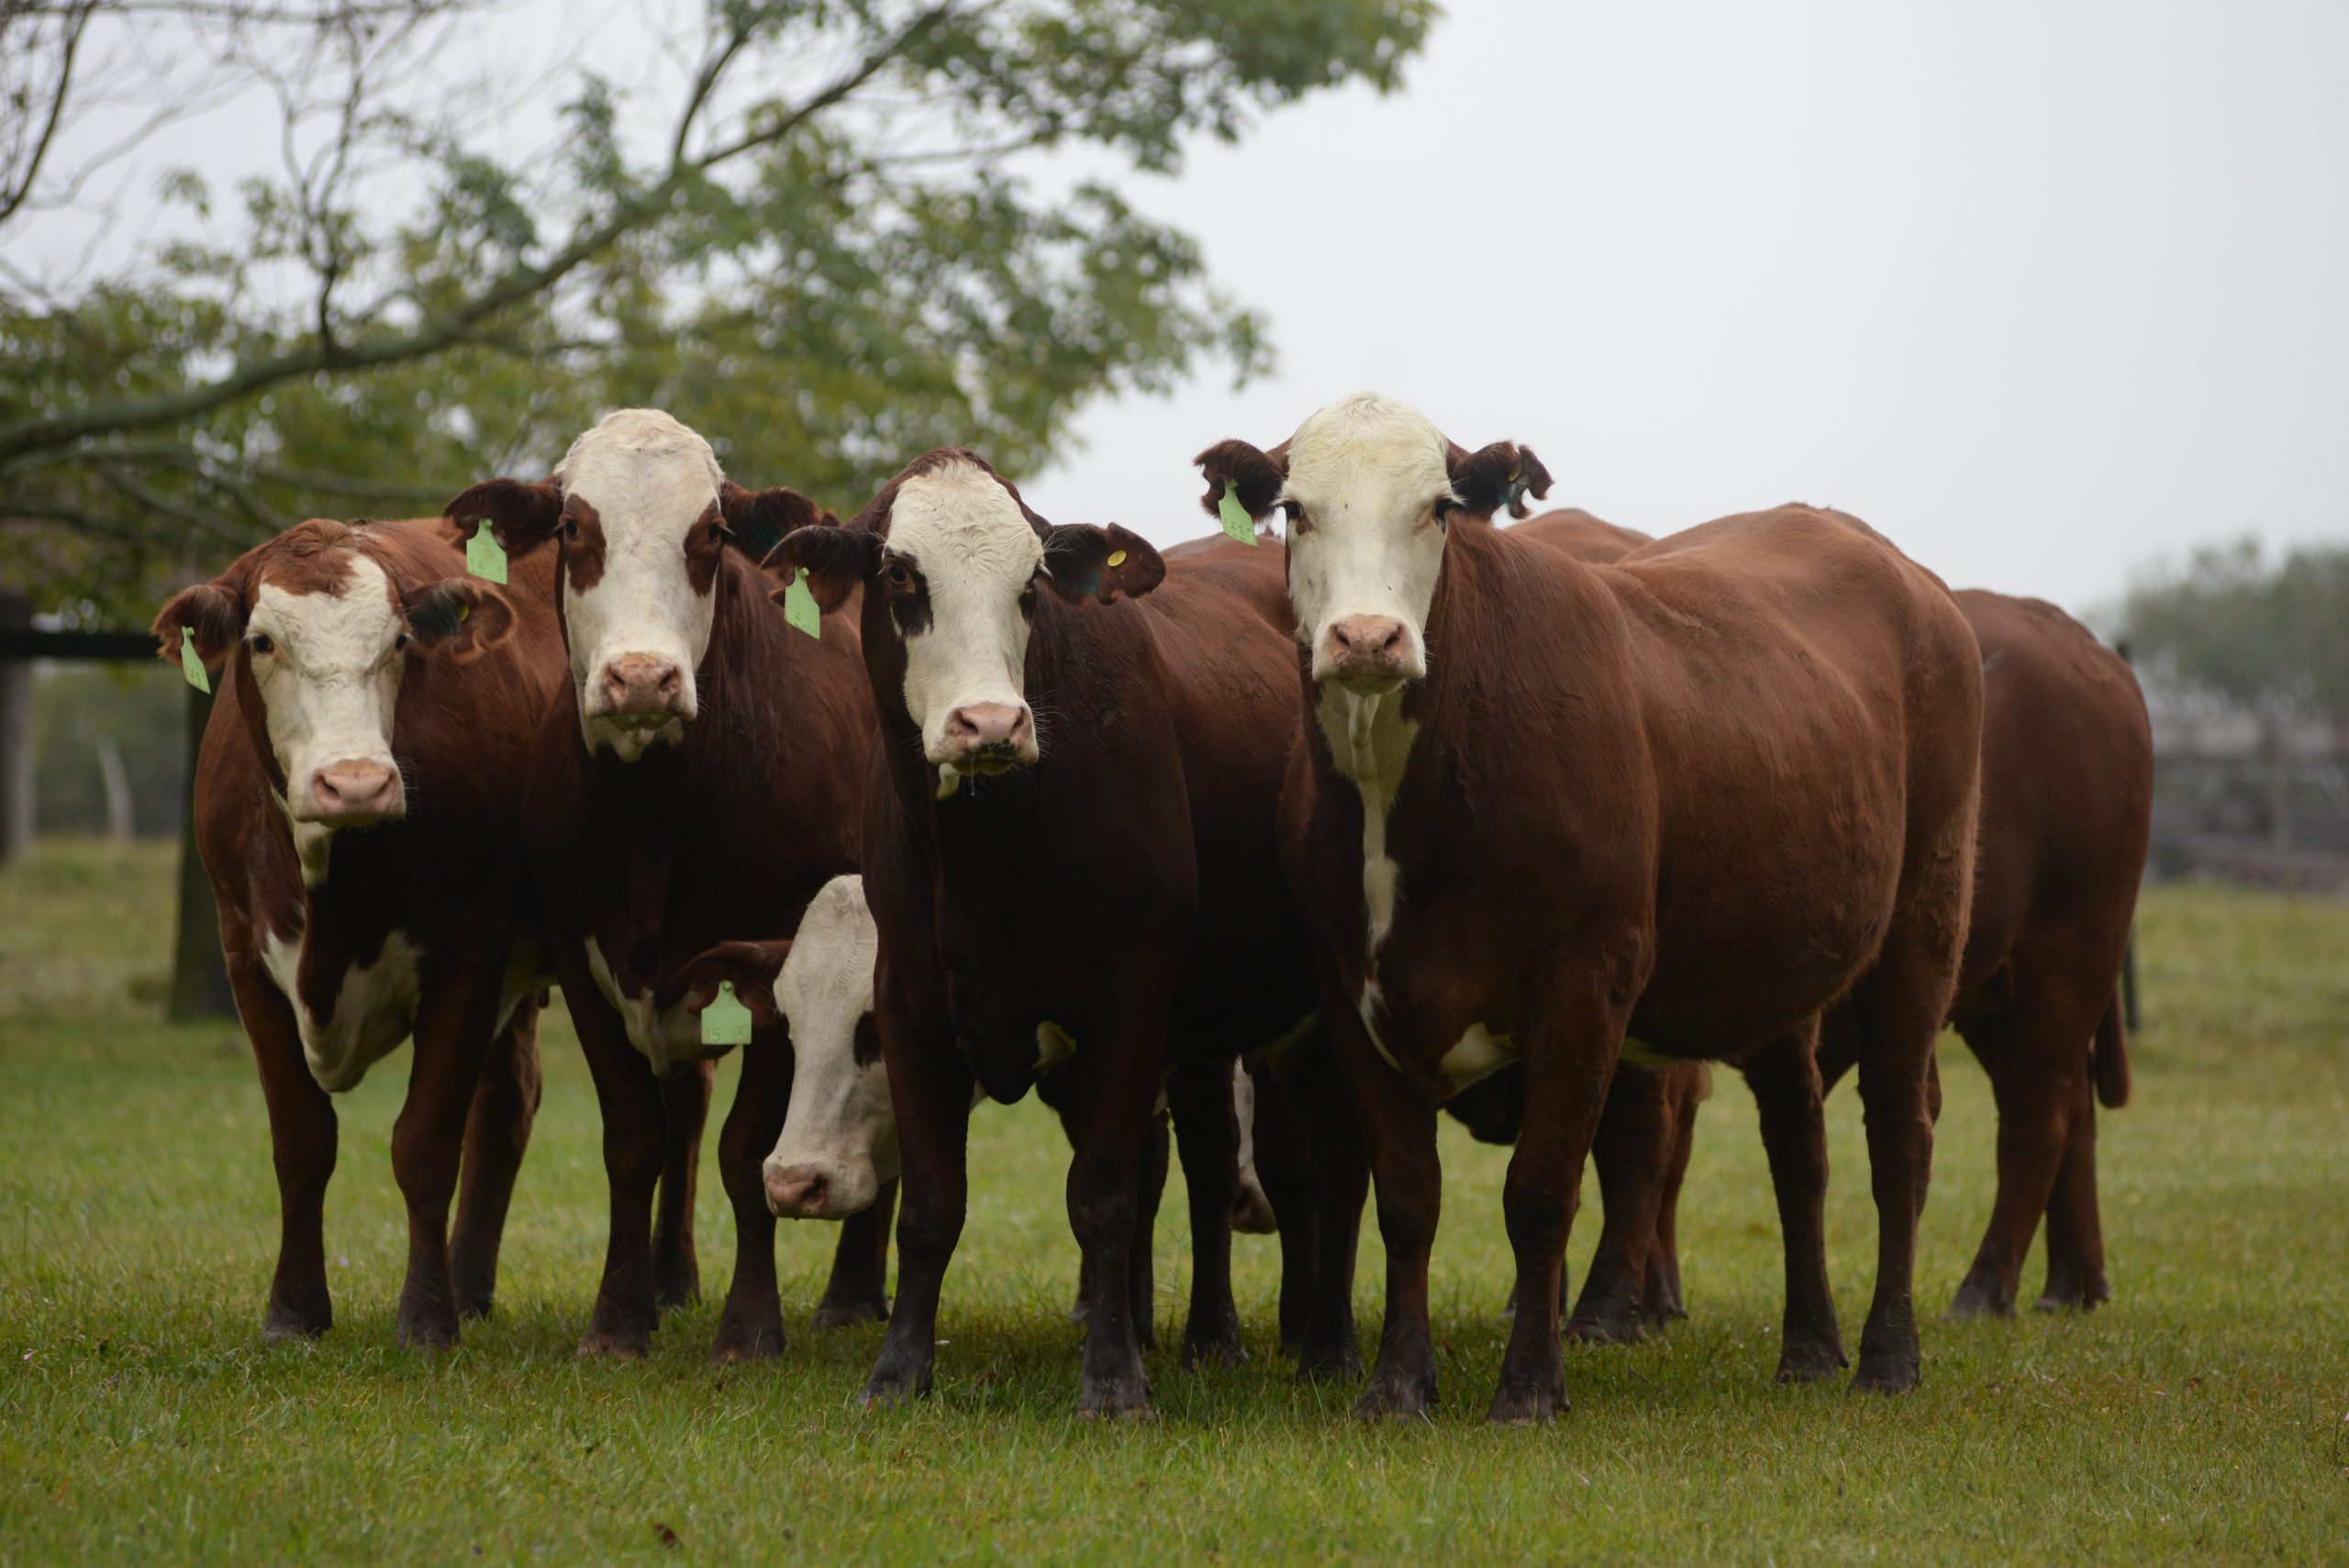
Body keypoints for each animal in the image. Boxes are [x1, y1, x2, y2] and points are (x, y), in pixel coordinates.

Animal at [154, 516, 563, 1351]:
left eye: (401, 640)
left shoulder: (470, 953)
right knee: (507, 1104)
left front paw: (428, 1319)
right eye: (262, 641)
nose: (355, 783)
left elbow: (425, 1142)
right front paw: (294, 1311)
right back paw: (472, 1284)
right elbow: (302, 1140)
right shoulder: (244, 956)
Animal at [443, 408, 883, 1361]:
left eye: (710, 534)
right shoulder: (584, 959)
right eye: (574, 529)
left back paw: (851, 1294)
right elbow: (636, 1137)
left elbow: (746, 1149)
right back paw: (674, 1280)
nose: (642, 676)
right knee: (682, 1110)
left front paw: (750, 1329)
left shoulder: (781, 965)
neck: (652, 821)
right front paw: (620, 1318)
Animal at [765, 446, 1353, 1418]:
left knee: (1323, 1174)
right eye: (901, 574)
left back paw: (1315, 1344)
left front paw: (1113, 1378)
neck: (987, 853)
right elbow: (931, 1202)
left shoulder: (1128, 1007)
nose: (990, 723)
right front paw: (897, 1371)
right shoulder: (913, 1009)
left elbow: (1104, 1196)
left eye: (1031, 584)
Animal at [1202, 394, 1991, 1418]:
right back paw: (1810, 1347)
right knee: (1799, 1148)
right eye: (1296, 510)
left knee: (1899, 1133)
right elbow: (1407, 1197)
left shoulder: (1586, 986)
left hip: (1925, 915)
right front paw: (1397, 1382)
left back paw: (1888, 1355)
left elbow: (1540, 1192)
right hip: (1779, 966)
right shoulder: (1349, 992)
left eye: (1440, 508)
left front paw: (1529, 1386)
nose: (1367, 639)